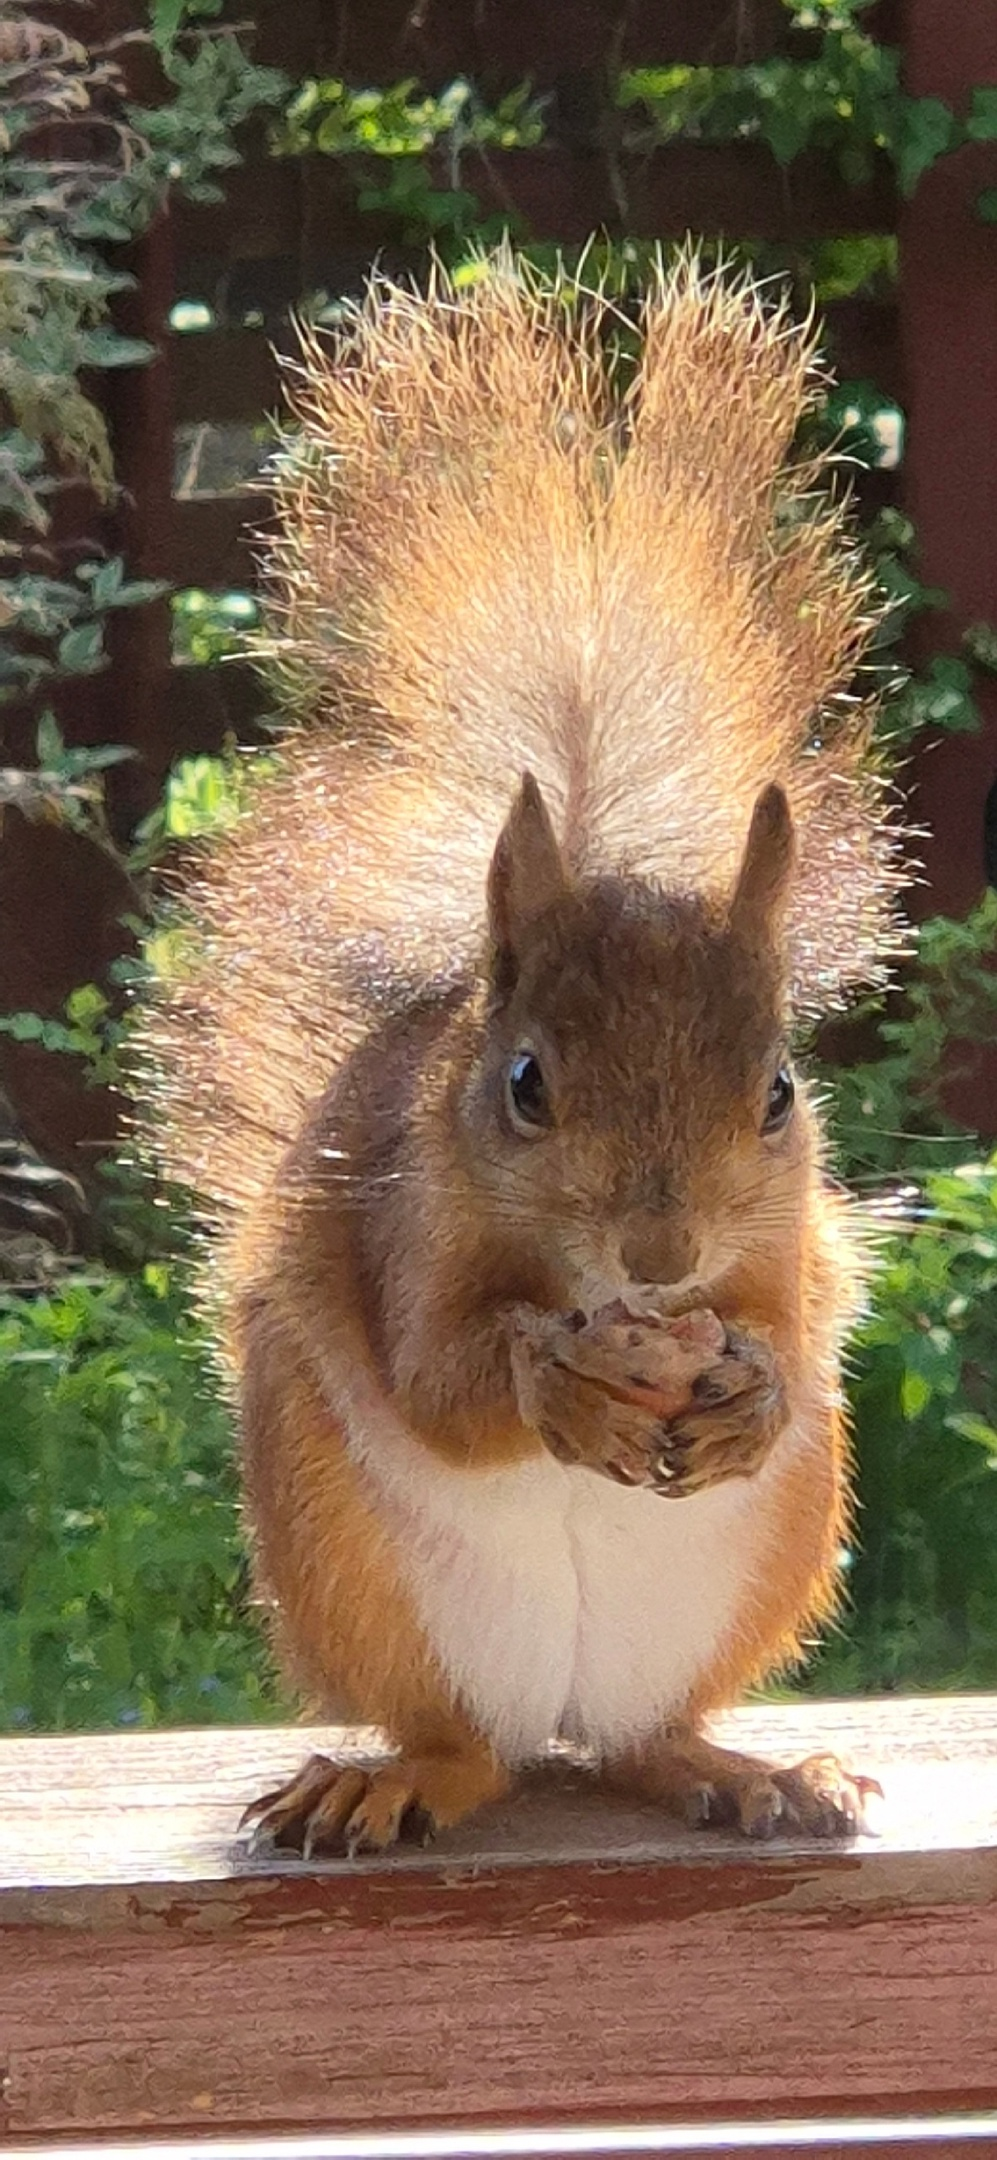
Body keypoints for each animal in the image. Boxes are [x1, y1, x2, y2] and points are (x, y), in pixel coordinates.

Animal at [145, 257, 902, 1857]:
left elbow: (795, 1324)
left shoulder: (778, 1243)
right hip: (348, 1558)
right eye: (526, 1087)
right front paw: (554, 1386)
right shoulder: (405, 1228)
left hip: (773, 1556)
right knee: (461, 1745)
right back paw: (386, 1780)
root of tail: (554, 1708)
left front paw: (752, 1387)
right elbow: (443, 1377)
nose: (662, 1259)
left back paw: (746, 1768)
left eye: (780, 1092)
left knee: (646, 1738)